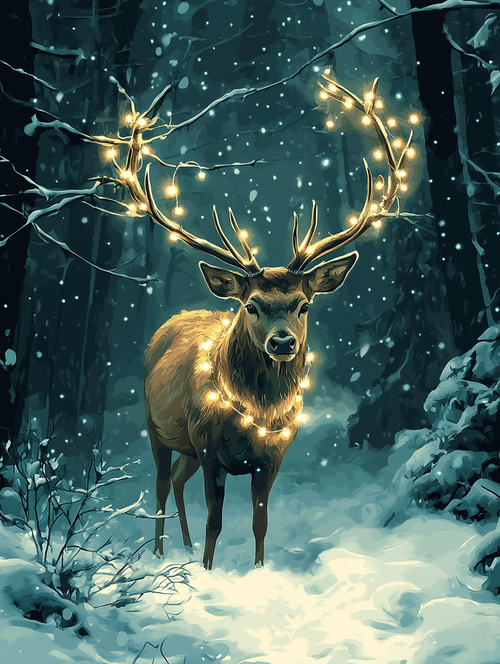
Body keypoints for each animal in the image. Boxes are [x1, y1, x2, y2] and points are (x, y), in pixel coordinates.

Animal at [110, 75, 413, 568]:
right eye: (251, 305)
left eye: (304, 305)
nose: (283, 343)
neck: (257, 415)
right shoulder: (209, 448)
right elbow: (216, 521)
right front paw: (208, 570)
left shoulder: (273, 456)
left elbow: (260, 523)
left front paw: (255, 569)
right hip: (156, 427)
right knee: (158, 485)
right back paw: (160, 551)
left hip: (186, 446)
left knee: (177, 479)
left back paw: (184, 545)